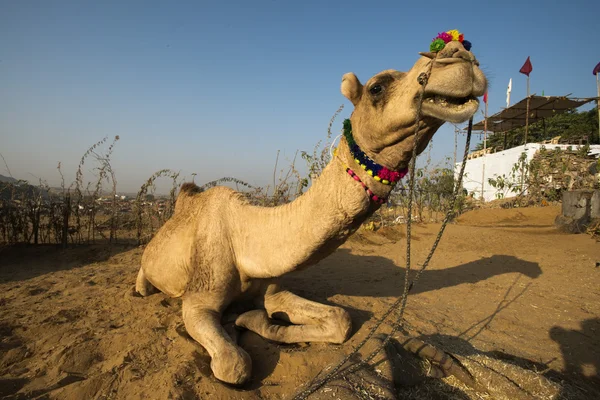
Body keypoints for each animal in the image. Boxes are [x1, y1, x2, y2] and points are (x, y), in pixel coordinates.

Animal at [136, 39, 488, 386]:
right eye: (377, 87)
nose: (462, 54)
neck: (246, 239)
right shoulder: (198, 299)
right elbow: (233, 365)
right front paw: (235, 329)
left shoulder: (273, 289)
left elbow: (340, 319)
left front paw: (249, 319)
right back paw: (142, 288)